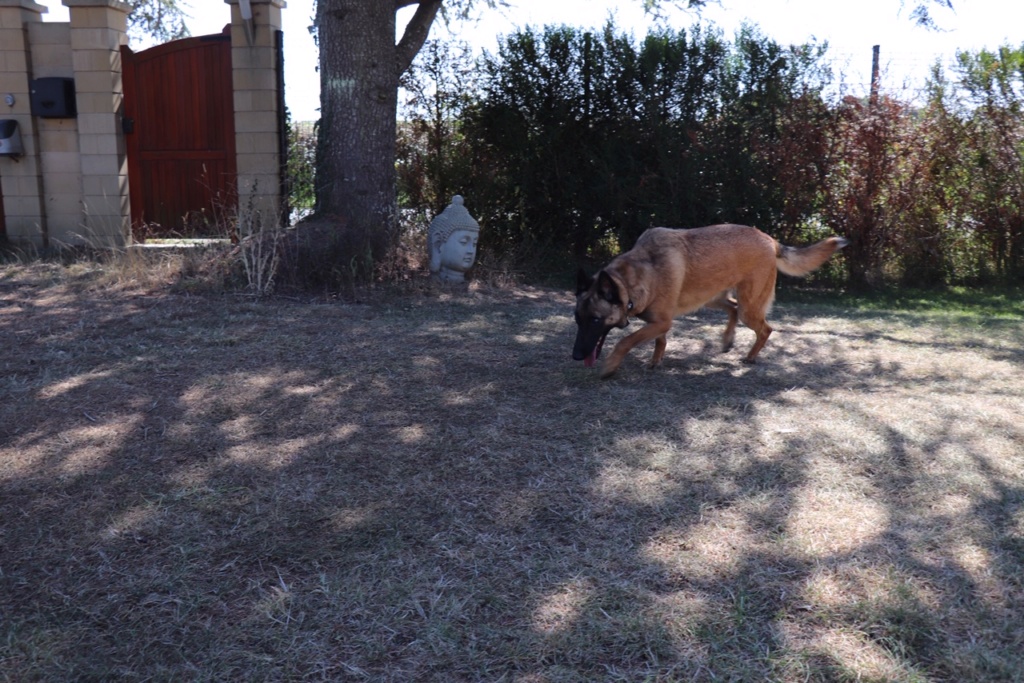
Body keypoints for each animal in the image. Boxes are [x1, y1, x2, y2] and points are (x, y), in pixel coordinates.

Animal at [577, 224, 847, 376]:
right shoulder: (659, 322)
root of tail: (770, 240)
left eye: (596, 320)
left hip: (748, 307)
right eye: (578, 320)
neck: (636, 277)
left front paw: (610, 367)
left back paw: (750, 356)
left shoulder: (661, 322)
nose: (576, 356)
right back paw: (728, 340)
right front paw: (656, 360)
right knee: (733, 309)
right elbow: (659, 341)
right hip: (710, 298)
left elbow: (626, 341)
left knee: (765, 328)